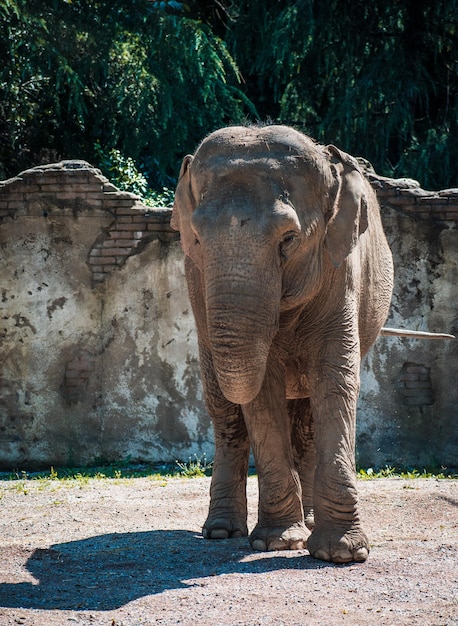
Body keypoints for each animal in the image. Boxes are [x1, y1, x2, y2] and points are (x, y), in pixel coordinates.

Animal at [172, 123, 394, 560]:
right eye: (199, 240)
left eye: (289, 239)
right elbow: (262, 391)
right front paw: (278, 541)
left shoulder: (340, 269)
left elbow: (335, 380)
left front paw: (342, 554)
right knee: (225, 413)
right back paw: (222, 531)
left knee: (305, 420)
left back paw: (307, 520)